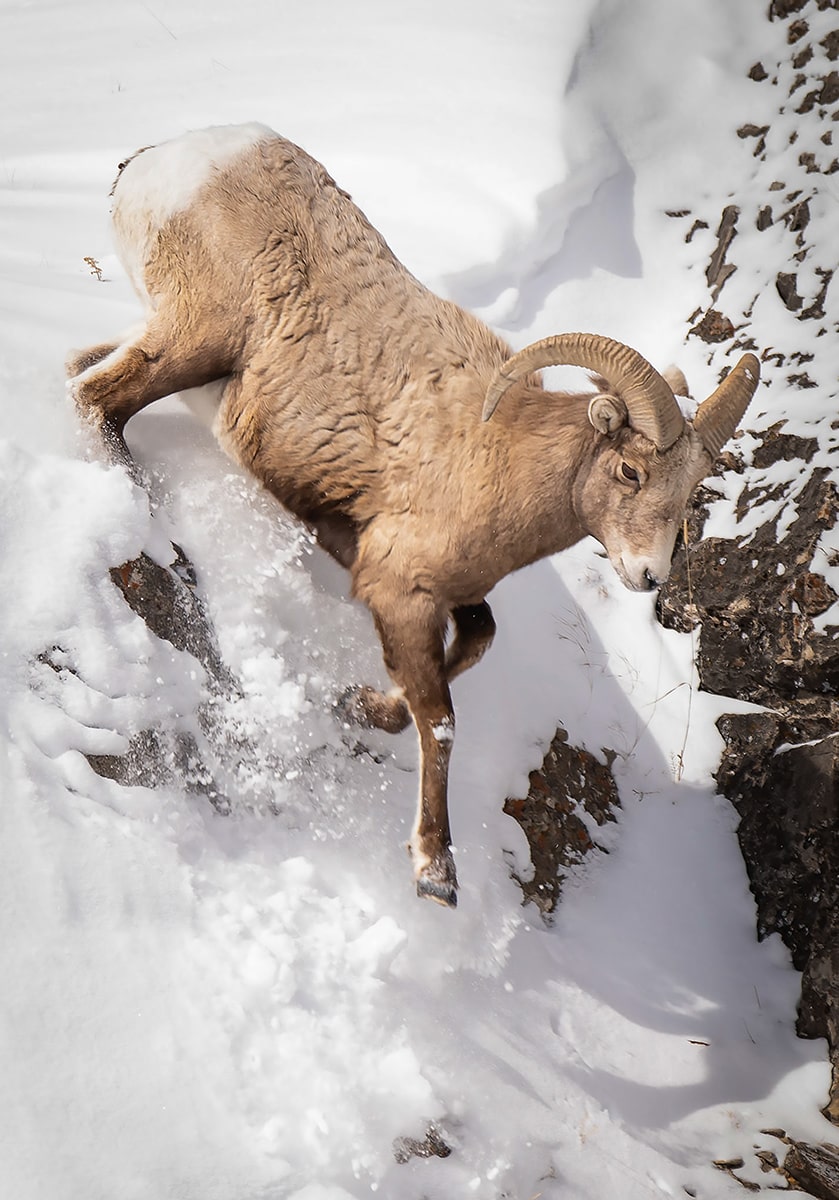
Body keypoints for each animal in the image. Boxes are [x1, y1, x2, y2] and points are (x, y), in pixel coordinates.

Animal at [67, 124, 763, 907]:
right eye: (630, 471)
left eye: (691, 490)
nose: (648, 576)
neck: (491, 452)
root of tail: (162, 162)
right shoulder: (399, 591)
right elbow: (444, 722)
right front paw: (435, 870)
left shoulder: (430, 586)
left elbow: (474, 646)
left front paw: (362, 708)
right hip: (194, 340)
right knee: (99, 399)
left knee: (83, 371)